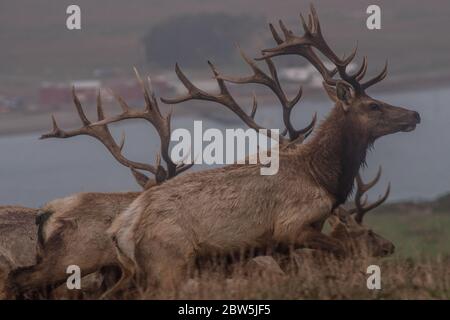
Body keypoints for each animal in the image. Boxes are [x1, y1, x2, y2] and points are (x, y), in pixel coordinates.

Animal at [101, 5, 418, 292]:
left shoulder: (284, 243)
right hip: (169, 259)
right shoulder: (290, 227)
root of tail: (121, 231)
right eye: (374, 105)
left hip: (131, 271)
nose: (414, 114)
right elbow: (341, 251)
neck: (323, 179)